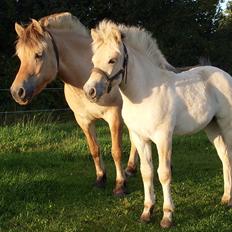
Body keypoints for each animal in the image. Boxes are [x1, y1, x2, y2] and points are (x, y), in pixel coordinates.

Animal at [84, 19, 232, 227]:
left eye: (112, 60)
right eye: (94, 61)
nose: (89, 91)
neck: (145, 92)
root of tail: (224, 74)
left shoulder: (163, 138)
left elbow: (164, 174)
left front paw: (167, 216)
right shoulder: (140, 138)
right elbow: (147, 172)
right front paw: (147, 212)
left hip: (226, 125)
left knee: (229, 157)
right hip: (212, 127)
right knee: (224, 157)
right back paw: (226, 198)